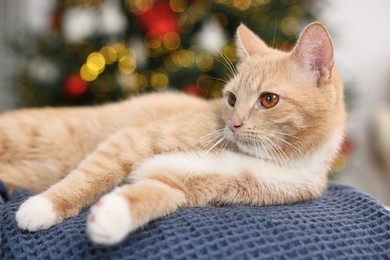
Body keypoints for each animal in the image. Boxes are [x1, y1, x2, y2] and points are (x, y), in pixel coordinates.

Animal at [0, 21, 346, 244]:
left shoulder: (176, 181)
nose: (233, 124)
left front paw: (111, 218)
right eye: (232, 99)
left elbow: (150, 196)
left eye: (269, 100)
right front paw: (44, 206)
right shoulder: (131, 141)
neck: (273, 162)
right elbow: (91, 176)